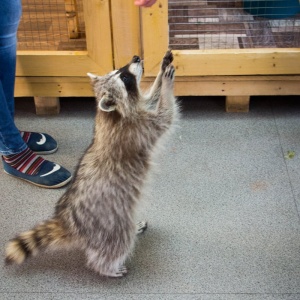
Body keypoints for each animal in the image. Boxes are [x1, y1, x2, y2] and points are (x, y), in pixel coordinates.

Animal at [5, 49, 178, 276]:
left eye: (119, 71)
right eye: (125, 78)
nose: (136, 58)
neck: (113, 113)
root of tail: (68, 221)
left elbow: (150, 100)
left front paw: (161, 71)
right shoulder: (139, 128)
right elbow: (165, 115)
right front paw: (166, 84)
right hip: (109, 224)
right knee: (115, 244)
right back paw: (107, 268)